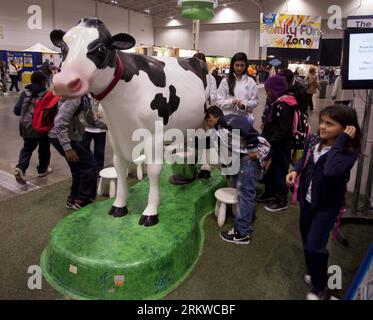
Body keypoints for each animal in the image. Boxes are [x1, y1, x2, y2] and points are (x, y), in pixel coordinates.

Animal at [50, 18, 209, 228]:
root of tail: (195, 58)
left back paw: (205, 170)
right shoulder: (114, 132)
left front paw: (151, 212)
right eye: (62, 47)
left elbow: (154, 170)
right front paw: (119, 205)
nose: (63, 83)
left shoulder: (154, 135)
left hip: (206, 116)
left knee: (206, 143)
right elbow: (120, 166)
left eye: (101, 48)